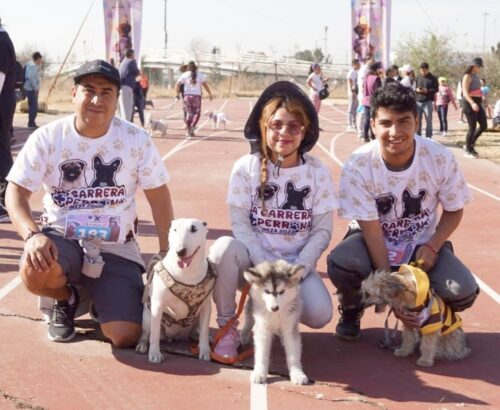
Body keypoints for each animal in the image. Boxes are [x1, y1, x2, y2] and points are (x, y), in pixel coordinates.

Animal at [136, 218, 216, 362]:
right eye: (174, 229)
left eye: (194, 229)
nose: (180, 251)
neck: (187, 273)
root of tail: (173, 336)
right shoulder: (157, 305)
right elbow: (154, 334)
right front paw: (154, 354)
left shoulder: (206, 307)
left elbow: (205, 331)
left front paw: (205, 351)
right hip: (147, 317)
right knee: (147, 333)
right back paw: (142, 345)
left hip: (196, 319)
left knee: (197, 331)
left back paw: (201, 337)